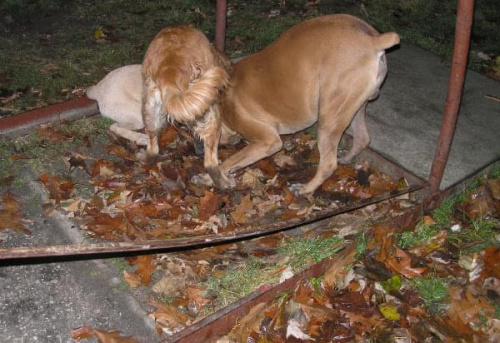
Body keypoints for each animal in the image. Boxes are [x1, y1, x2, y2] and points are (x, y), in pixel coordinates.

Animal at [213, 13, 400, 195]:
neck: (223, 101)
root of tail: (373, 40)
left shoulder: (268, 141)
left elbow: (227, 162)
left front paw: (214, 177)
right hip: (355, 108)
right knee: (362, 139)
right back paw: (346, 159)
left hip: (329, 120)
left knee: (328, 164)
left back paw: (304, 189)